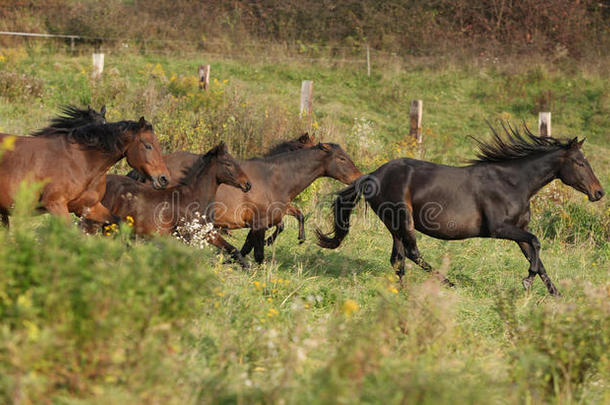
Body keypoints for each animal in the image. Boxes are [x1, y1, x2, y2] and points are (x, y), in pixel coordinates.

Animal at [0, 117, 169, 227]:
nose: (164, 178)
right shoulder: (55, 205)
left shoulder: (89, 207)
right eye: (148, 146)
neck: (80, 161)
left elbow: (119, 223)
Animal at [100, 143, 252, 268]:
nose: (248, 184)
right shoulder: (186, 236)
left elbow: (233, 250)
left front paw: (247, 268)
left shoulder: (207, 232)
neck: (193, 199)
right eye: (228, 163)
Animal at [316, 121, 600, 296]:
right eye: (579, 162)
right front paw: (527, 281)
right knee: (411, 252)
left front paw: (556, 294)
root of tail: (372, 175)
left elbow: (536, 258)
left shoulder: (518, 229)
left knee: (398, 258)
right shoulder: (499, 229)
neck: (513, 182)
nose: (599, 192)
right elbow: (537, 244)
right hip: (402, 218)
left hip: (394, 224)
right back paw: (448, 283)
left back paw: (404, 290)